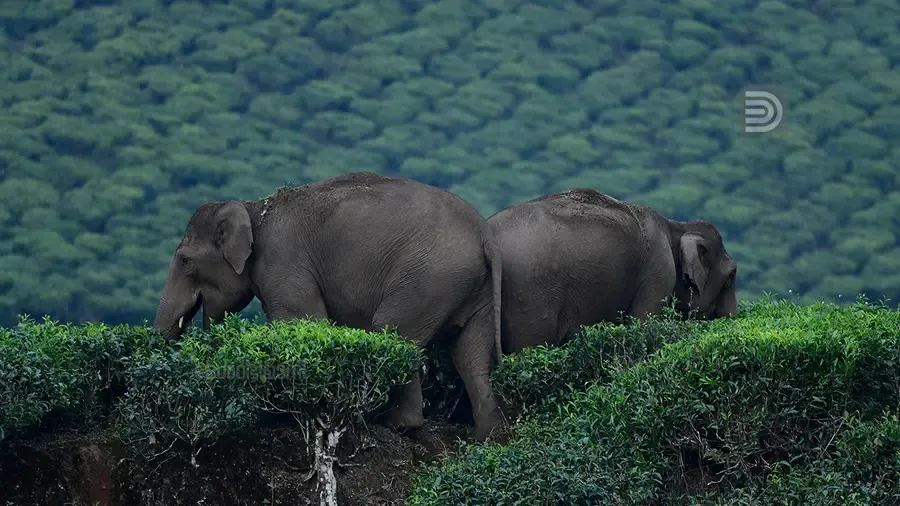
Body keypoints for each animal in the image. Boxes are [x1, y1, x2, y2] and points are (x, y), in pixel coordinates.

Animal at [152, 171, 504, 441]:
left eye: (185, 262)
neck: (255, 210)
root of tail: (484, 233)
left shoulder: (282, 262)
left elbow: (301, 321)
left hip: (428, 279)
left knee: (395, 335)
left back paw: (397, 424)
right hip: (474, 290)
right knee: (469, 354)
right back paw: (486, 437)